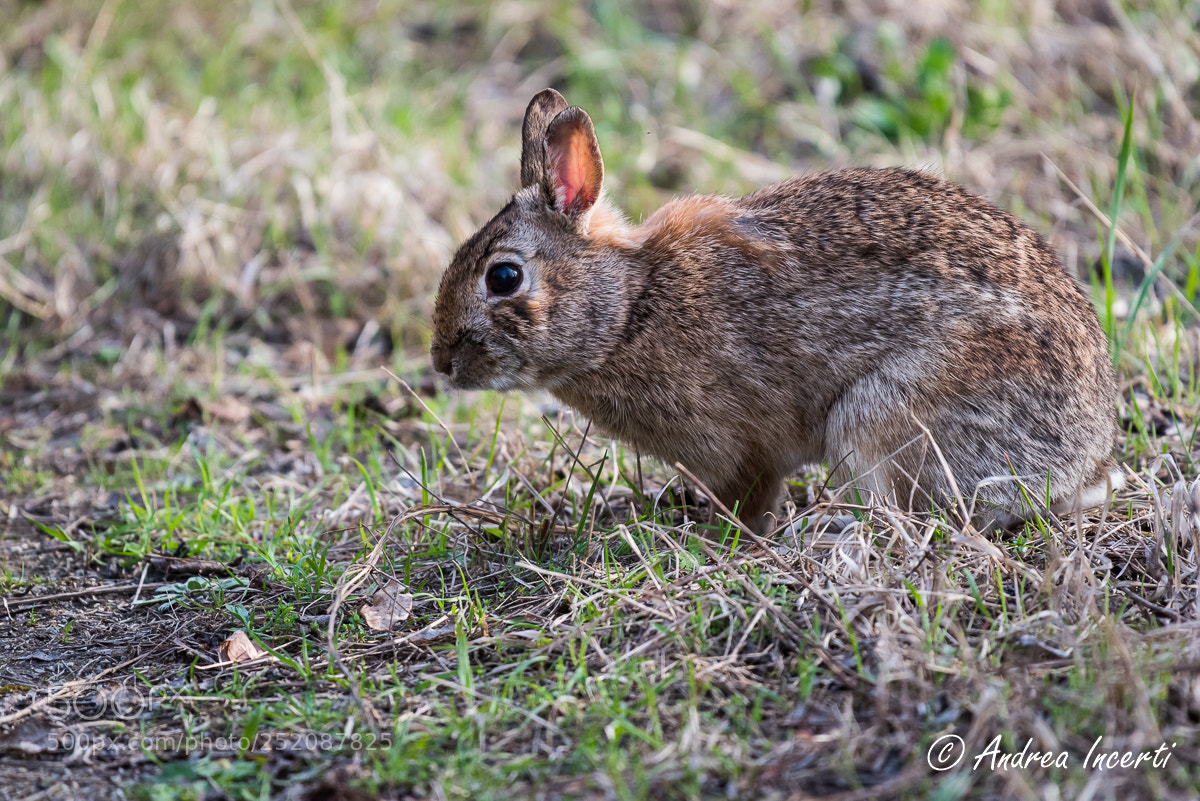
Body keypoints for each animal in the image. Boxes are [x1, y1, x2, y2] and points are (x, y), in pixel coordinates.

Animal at [430, 88, 1123, 534]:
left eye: (504, 277)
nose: (440, 361)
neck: (629, 310)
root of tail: (1083, 464)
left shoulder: (741, 447)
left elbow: (750, 498)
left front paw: (722, 542)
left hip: (881, 418)